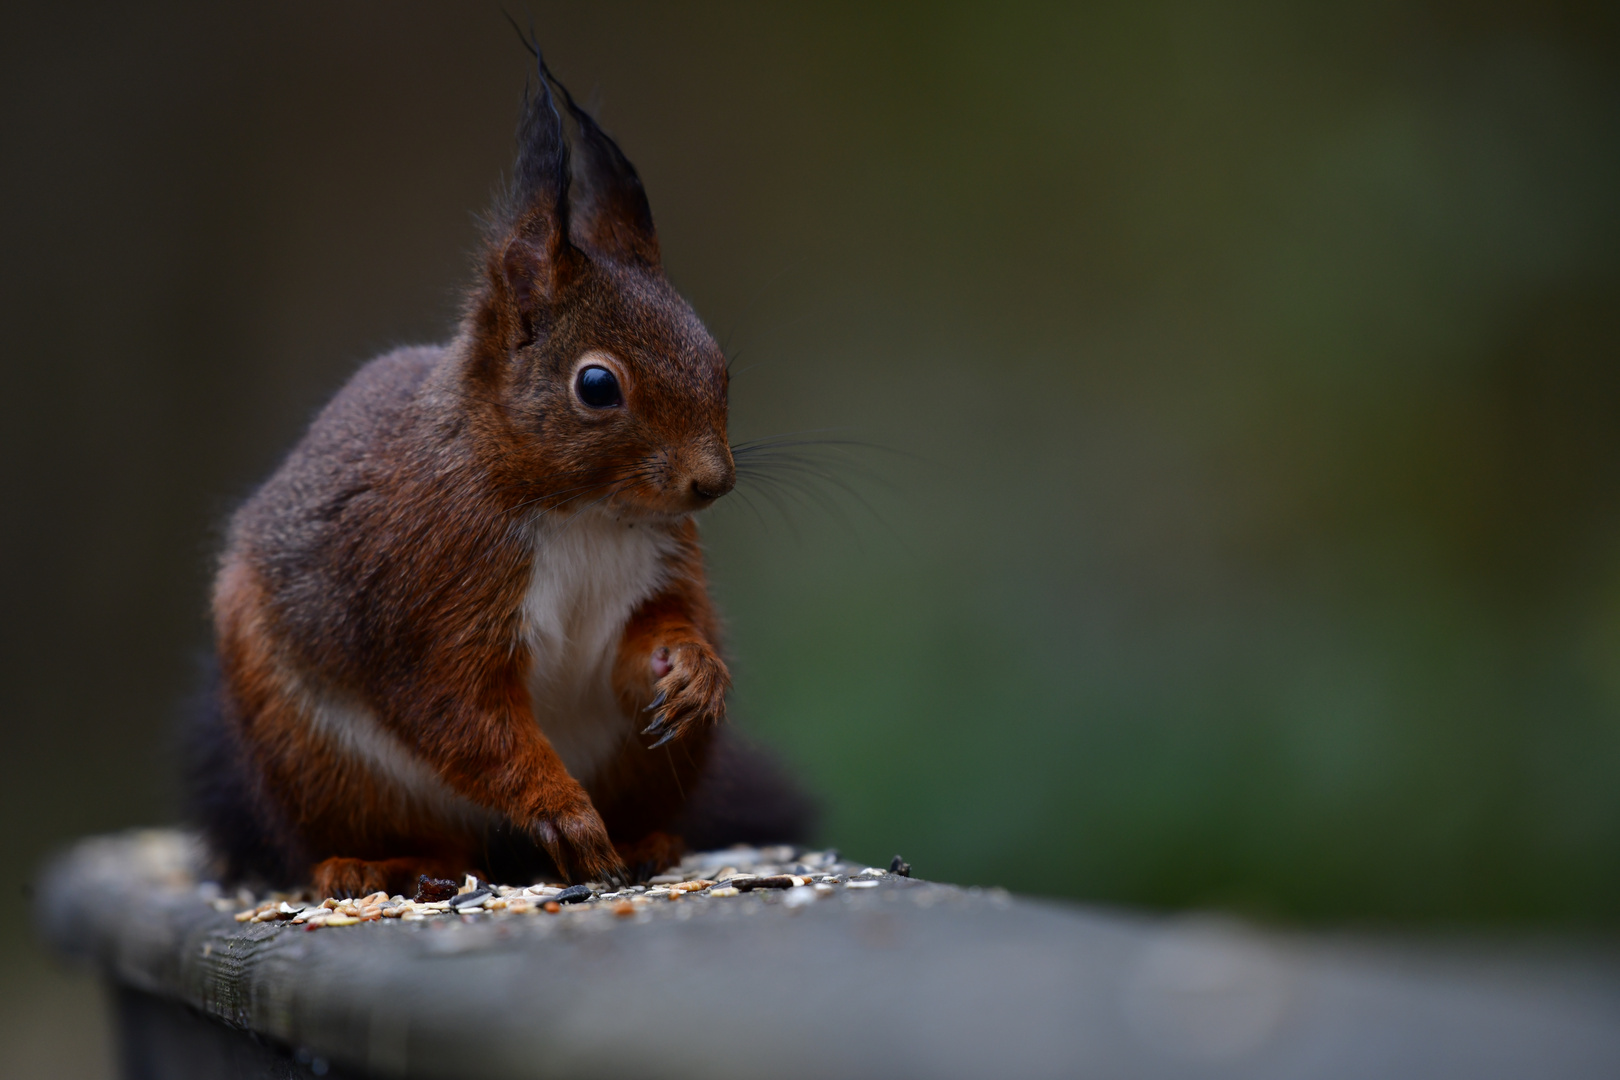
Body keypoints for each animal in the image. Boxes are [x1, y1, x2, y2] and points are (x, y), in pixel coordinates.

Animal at [185, 48, 810, 893]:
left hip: (643, 762)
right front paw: (562, 810)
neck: (583, 513)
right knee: (419, 839)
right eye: (597, 385)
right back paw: (383, 865)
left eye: (718, 363)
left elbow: (645, 642)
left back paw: (648, 841)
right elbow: (463, 714)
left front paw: (691, 670)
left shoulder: (661, 565)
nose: (711, 482)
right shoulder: (432, 595)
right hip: (318, 758)